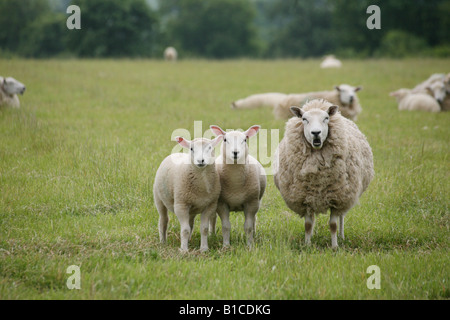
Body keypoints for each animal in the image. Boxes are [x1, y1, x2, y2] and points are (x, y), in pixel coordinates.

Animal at [272, 99, 374, 249]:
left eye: (326, 118)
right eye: (304, 119)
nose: (316, 133)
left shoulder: (336, 199)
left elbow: (333, 225)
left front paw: (335, 247)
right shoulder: (305, 198)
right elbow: (308, 225)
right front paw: (307, 245)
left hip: (347, 194)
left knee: (342, 217)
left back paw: (341, 237)